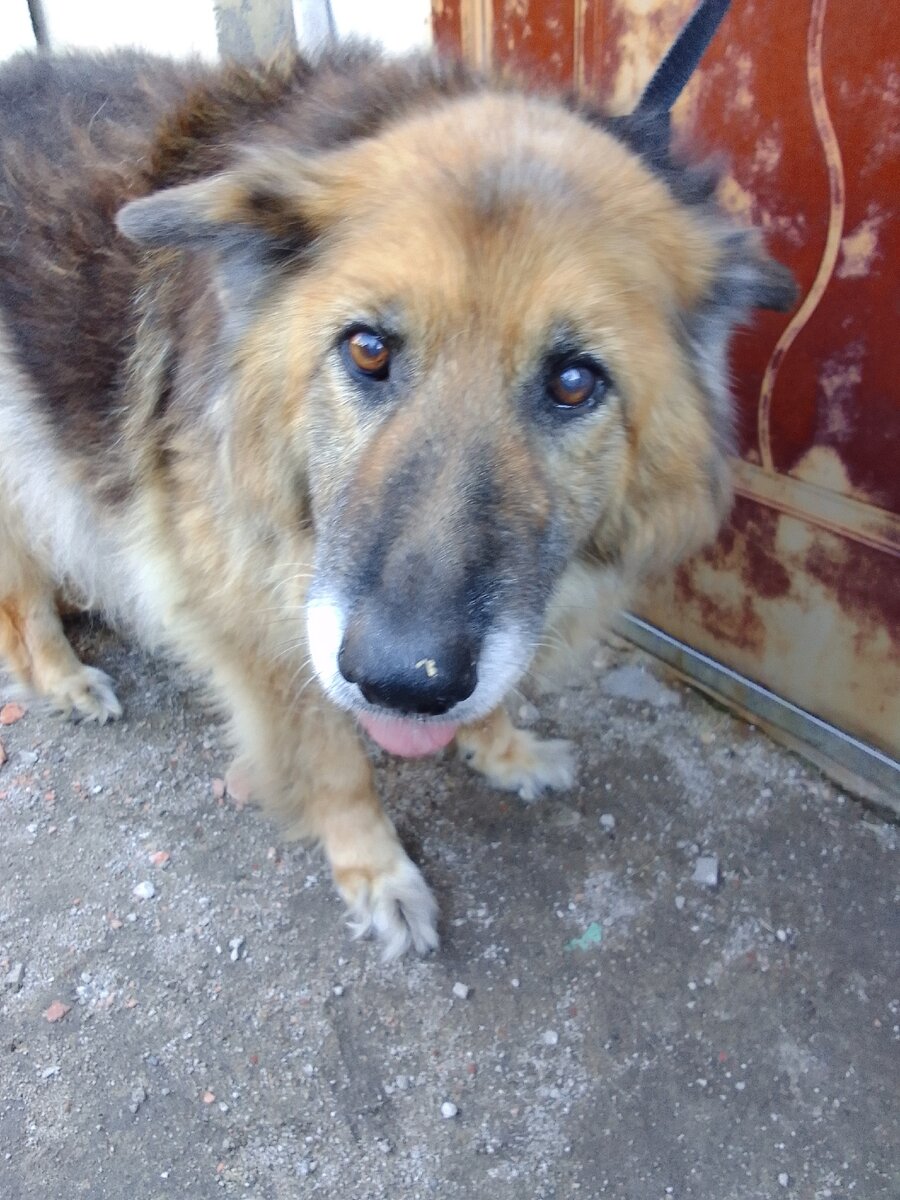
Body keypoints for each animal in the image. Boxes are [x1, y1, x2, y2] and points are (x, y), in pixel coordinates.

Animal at [0, 43, 794, 958]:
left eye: (574, 381)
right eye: (368, 350)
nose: (402, 683)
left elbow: (494, 696)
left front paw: (504, 753)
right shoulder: (256, 628)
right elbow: (337, 764)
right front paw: (375, 871)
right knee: (21, 601)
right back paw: (63, 680)